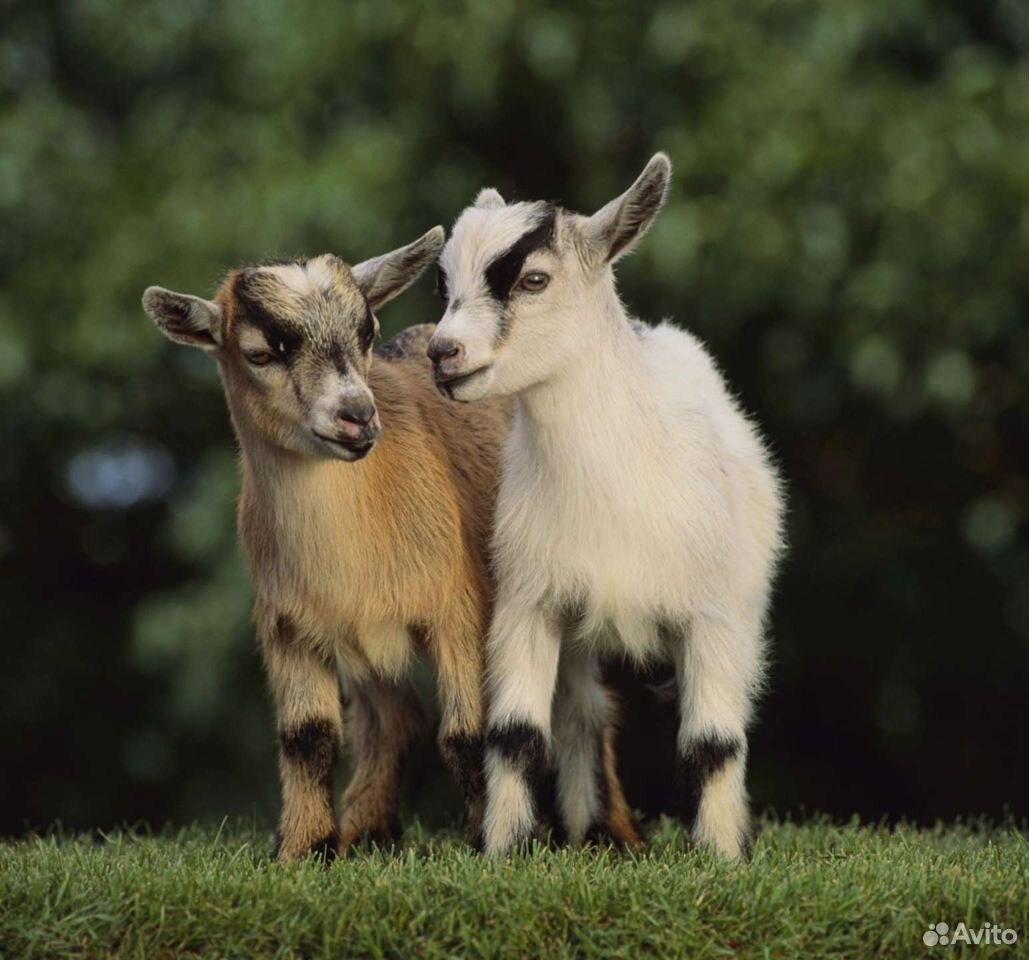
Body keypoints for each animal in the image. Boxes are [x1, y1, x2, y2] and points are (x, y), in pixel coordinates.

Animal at [427, 156, 785, 859]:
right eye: (447, 281)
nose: (442, 353)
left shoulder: (713, 616)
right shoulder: (530, 601)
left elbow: (713, 742)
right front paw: (504, 852)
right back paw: (590, 830)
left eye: (534, 279)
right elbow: (516, 733)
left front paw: (722, 857)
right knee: (581, 713)